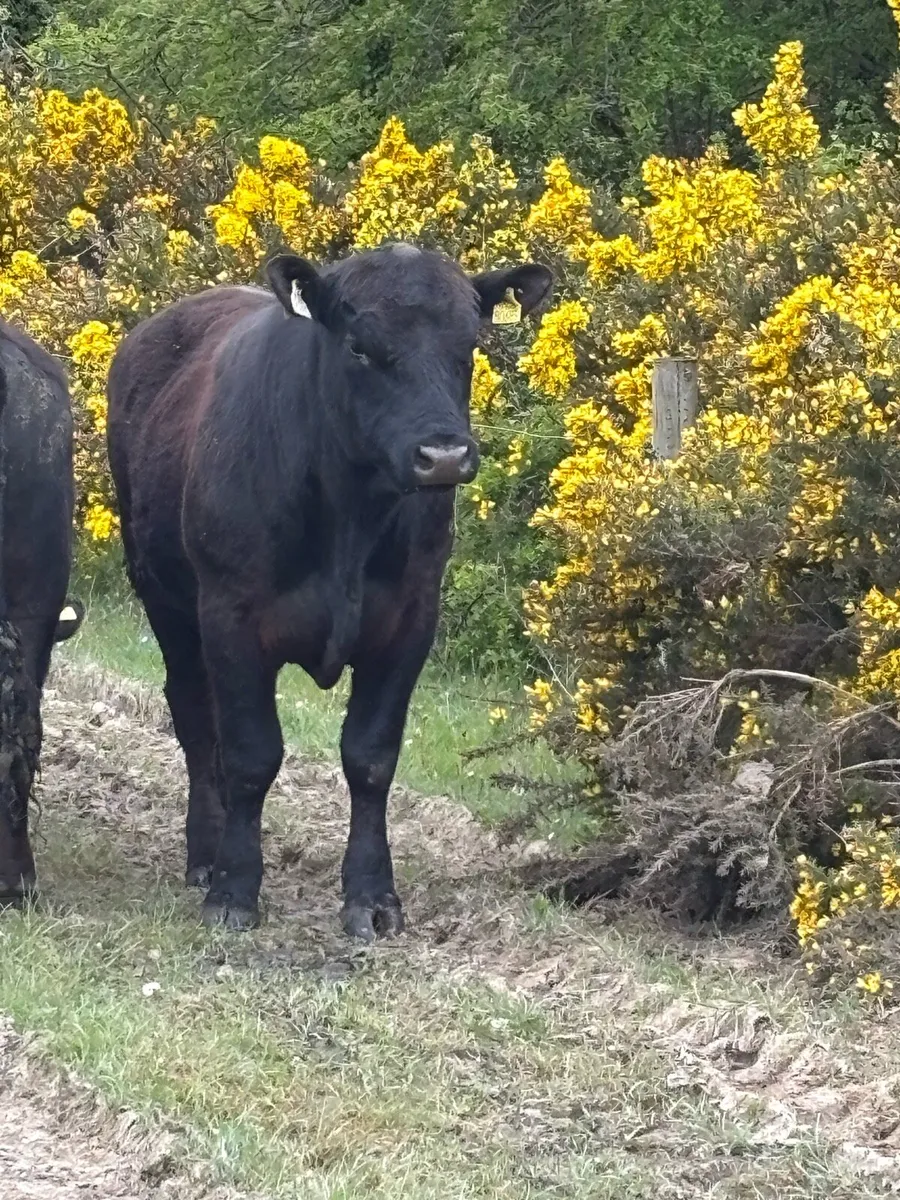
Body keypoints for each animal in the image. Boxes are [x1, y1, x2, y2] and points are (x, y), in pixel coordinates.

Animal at [106, 242, 552, 939]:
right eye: (359, 348)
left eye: (469, 346)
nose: (444, 456)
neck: (350, 517)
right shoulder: (231, 615)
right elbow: (251, 753)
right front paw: (235, 889)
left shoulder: (411, 619)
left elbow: (371, 757)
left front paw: (371, 896)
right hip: (164, 599)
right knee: (194, 717)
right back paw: (204, 854)